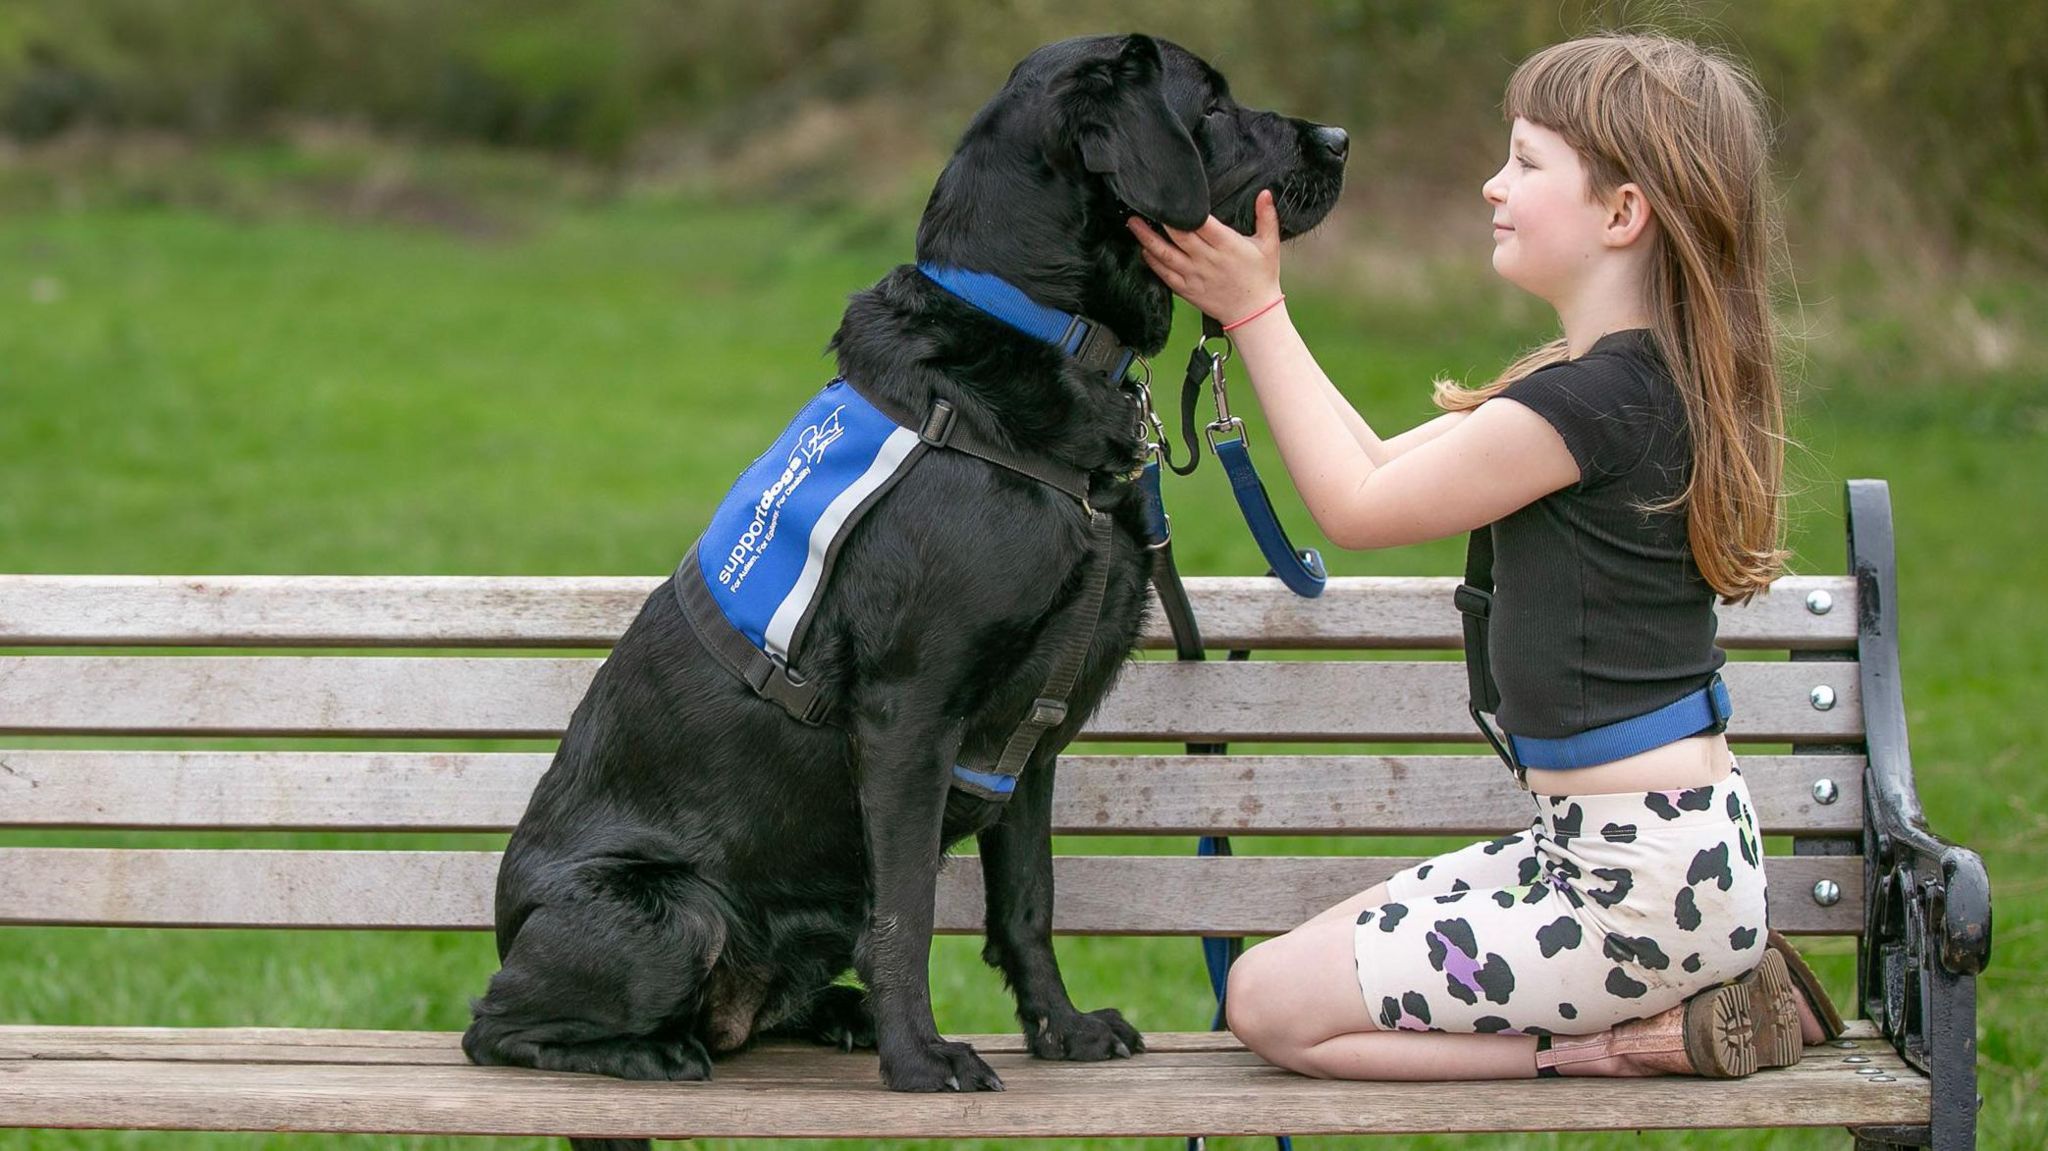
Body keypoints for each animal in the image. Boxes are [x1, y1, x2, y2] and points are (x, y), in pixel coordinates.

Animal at [464, 29, 1343, 1122]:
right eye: (1211, 107)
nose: (1340, 140)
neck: (1037, 335)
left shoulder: (1028, 747)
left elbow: (1028, 903)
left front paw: (1061, 1030)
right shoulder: (906, 715)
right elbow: (911, 915)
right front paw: (922, 1060)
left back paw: (827, 1015)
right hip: (674, 913)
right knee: (492, 1027)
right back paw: (655, 1051)